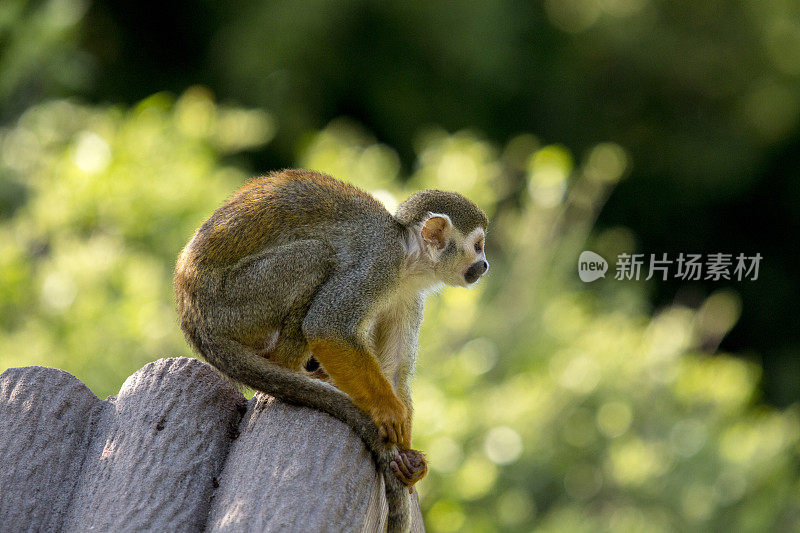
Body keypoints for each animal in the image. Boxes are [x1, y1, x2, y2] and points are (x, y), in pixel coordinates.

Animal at [175, 168, 488, 528]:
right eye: (478, 246)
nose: (485, 265)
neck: (408, 260)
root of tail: (190, 313)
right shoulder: (377, 264)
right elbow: (326, 327)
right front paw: (388, 411)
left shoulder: (409, 296)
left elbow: (395, 370)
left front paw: (410, 459)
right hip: (232, 302)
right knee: (316, 256)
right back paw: (290, 369)